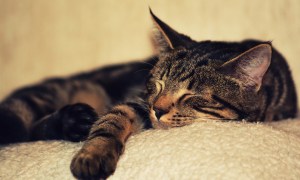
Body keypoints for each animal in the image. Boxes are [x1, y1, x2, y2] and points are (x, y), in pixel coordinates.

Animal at [0, 9, 296, 179]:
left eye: (191, 96)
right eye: (159, 84)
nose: (158, 109)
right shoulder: (138, 102)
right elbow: (112, 121)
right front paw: (93, 154)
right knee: (26, 129)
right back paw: (74, 120)